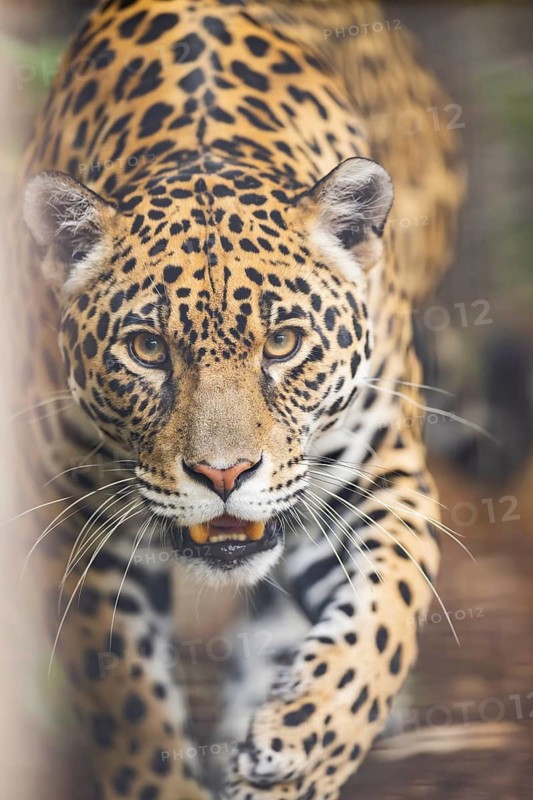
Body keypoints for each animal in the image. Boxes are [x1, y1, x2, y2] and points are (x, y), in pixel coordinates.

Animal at [15, 0, 464, 798]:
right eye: (147, 349)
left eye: (282, 343)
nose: (223, 476)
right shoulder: (80, 523)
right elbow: (126, 703)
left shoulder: (387, 480)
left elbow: (380, 628)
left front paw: (302, 746)